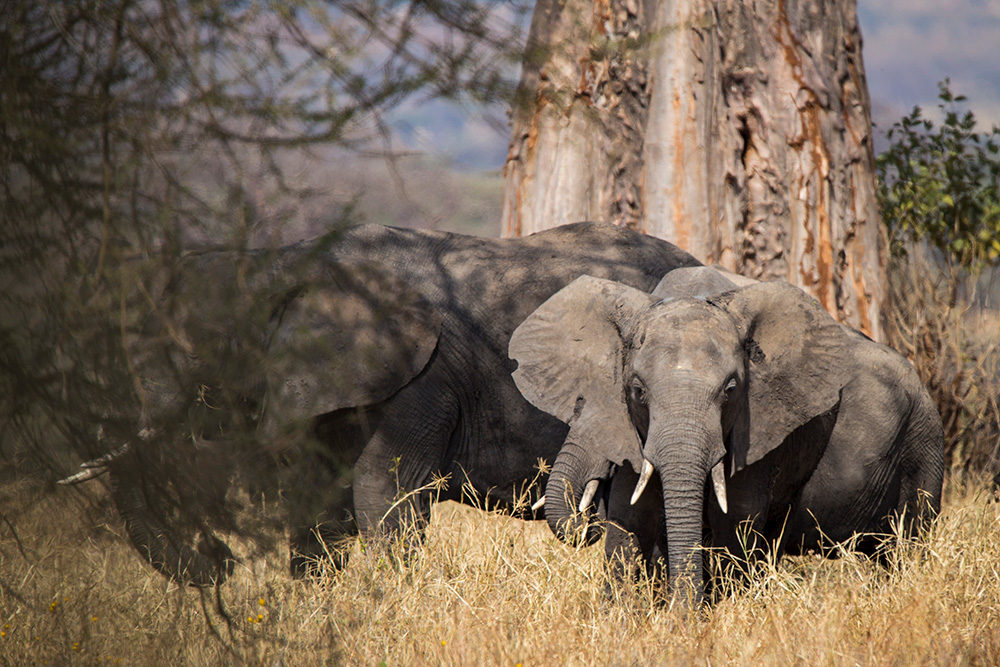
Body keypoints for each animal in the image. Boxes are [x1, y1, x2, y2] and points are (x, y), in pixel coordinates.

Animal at [61, 222, 700, 585]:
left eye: (192, 354)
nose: (220, 563)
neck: (280, 261)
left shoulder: (420, 382)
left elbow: (384, 495)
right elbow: (317, 503)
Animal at [508, 266, 945, 601]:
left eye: (731, 390)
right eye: (636, 390)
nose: (586, 522)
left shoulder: (762, 428)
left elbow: (734, 524)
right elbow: (630, 520)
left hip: (923, 444)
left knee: (906, 548)